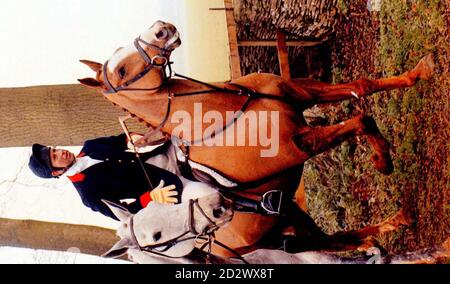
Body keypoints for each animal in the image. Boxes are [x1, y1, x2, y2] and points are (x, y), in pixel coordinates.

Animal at [78, 19, 436, 255]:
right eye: (121, 71)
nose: (161, 28)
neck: (226, 113)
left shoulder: (301, 92)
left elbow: (363, 86)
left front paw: (420, 72)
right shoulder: (301, 144)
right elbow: (362, 120)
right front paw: (382, 158)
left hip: (285, 214)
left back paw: (388, 227)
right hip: (270, 236)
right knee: (326, 242)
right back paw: (387, 229)